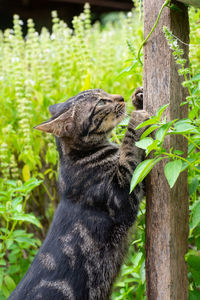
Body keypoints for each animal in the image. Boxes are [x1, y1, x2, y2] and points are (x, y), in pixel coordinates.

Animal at [9, 87, 149, 300]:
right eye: (101, 103)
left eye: (104, 92)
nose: (121, 98)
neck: (79, 156)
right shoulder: (121, 198)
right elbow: (128, 153)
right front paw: (136, 118)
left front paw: (138, 98)